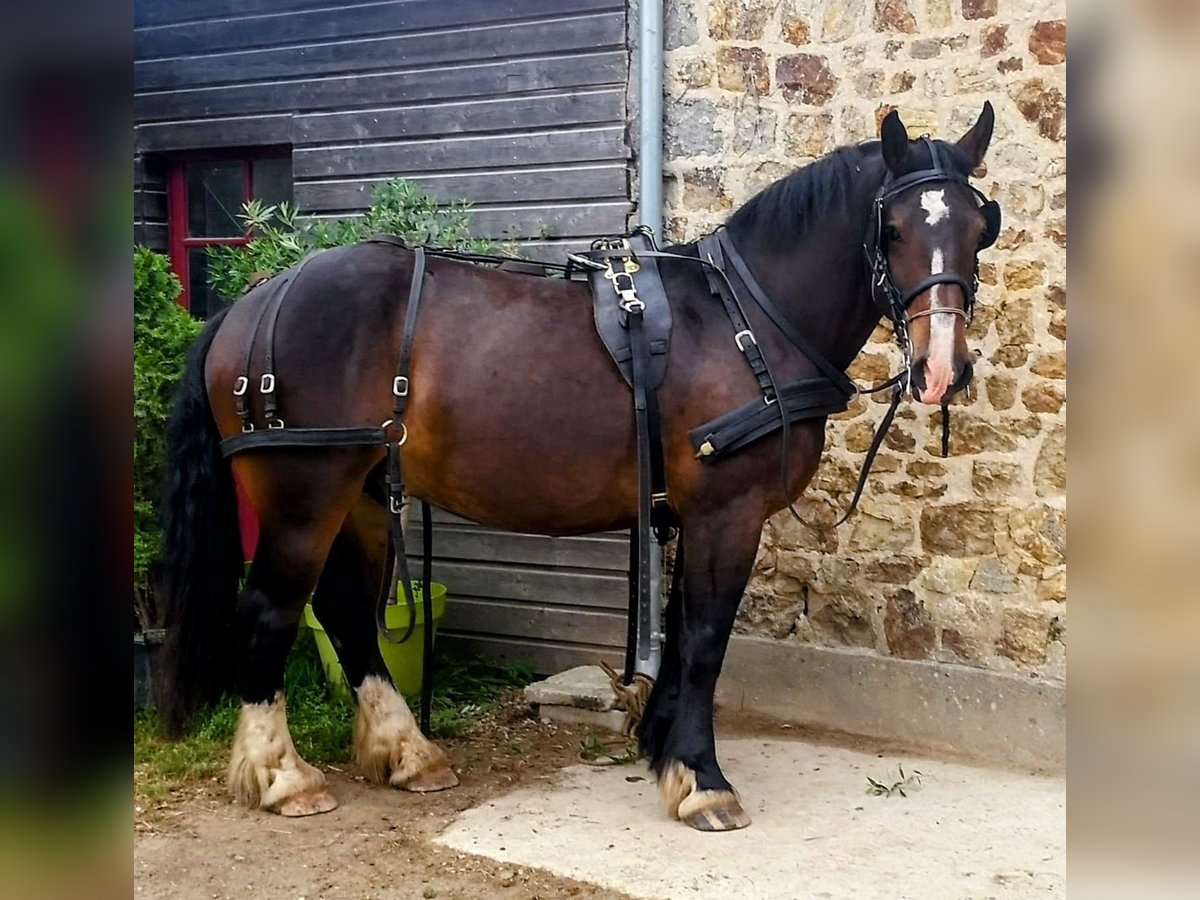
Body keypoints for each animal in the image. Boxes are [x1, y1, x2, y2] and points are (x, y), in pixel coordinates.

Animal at [159, 105, 993, 830]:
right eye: (892, 230)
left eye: (981, 228)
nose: (942, 369)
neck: (744, 319)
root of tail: (254, 300)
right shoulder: (727, 508)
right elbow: (706, 638)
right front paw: (703, 781)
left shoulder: (693, 512)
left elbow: (682, 629)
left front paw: (663, 750)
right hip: (306, 492)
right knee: (270, 611)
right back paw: (283, 777)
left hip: (361, 492)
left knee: (346, 612)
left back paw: (408, 752)